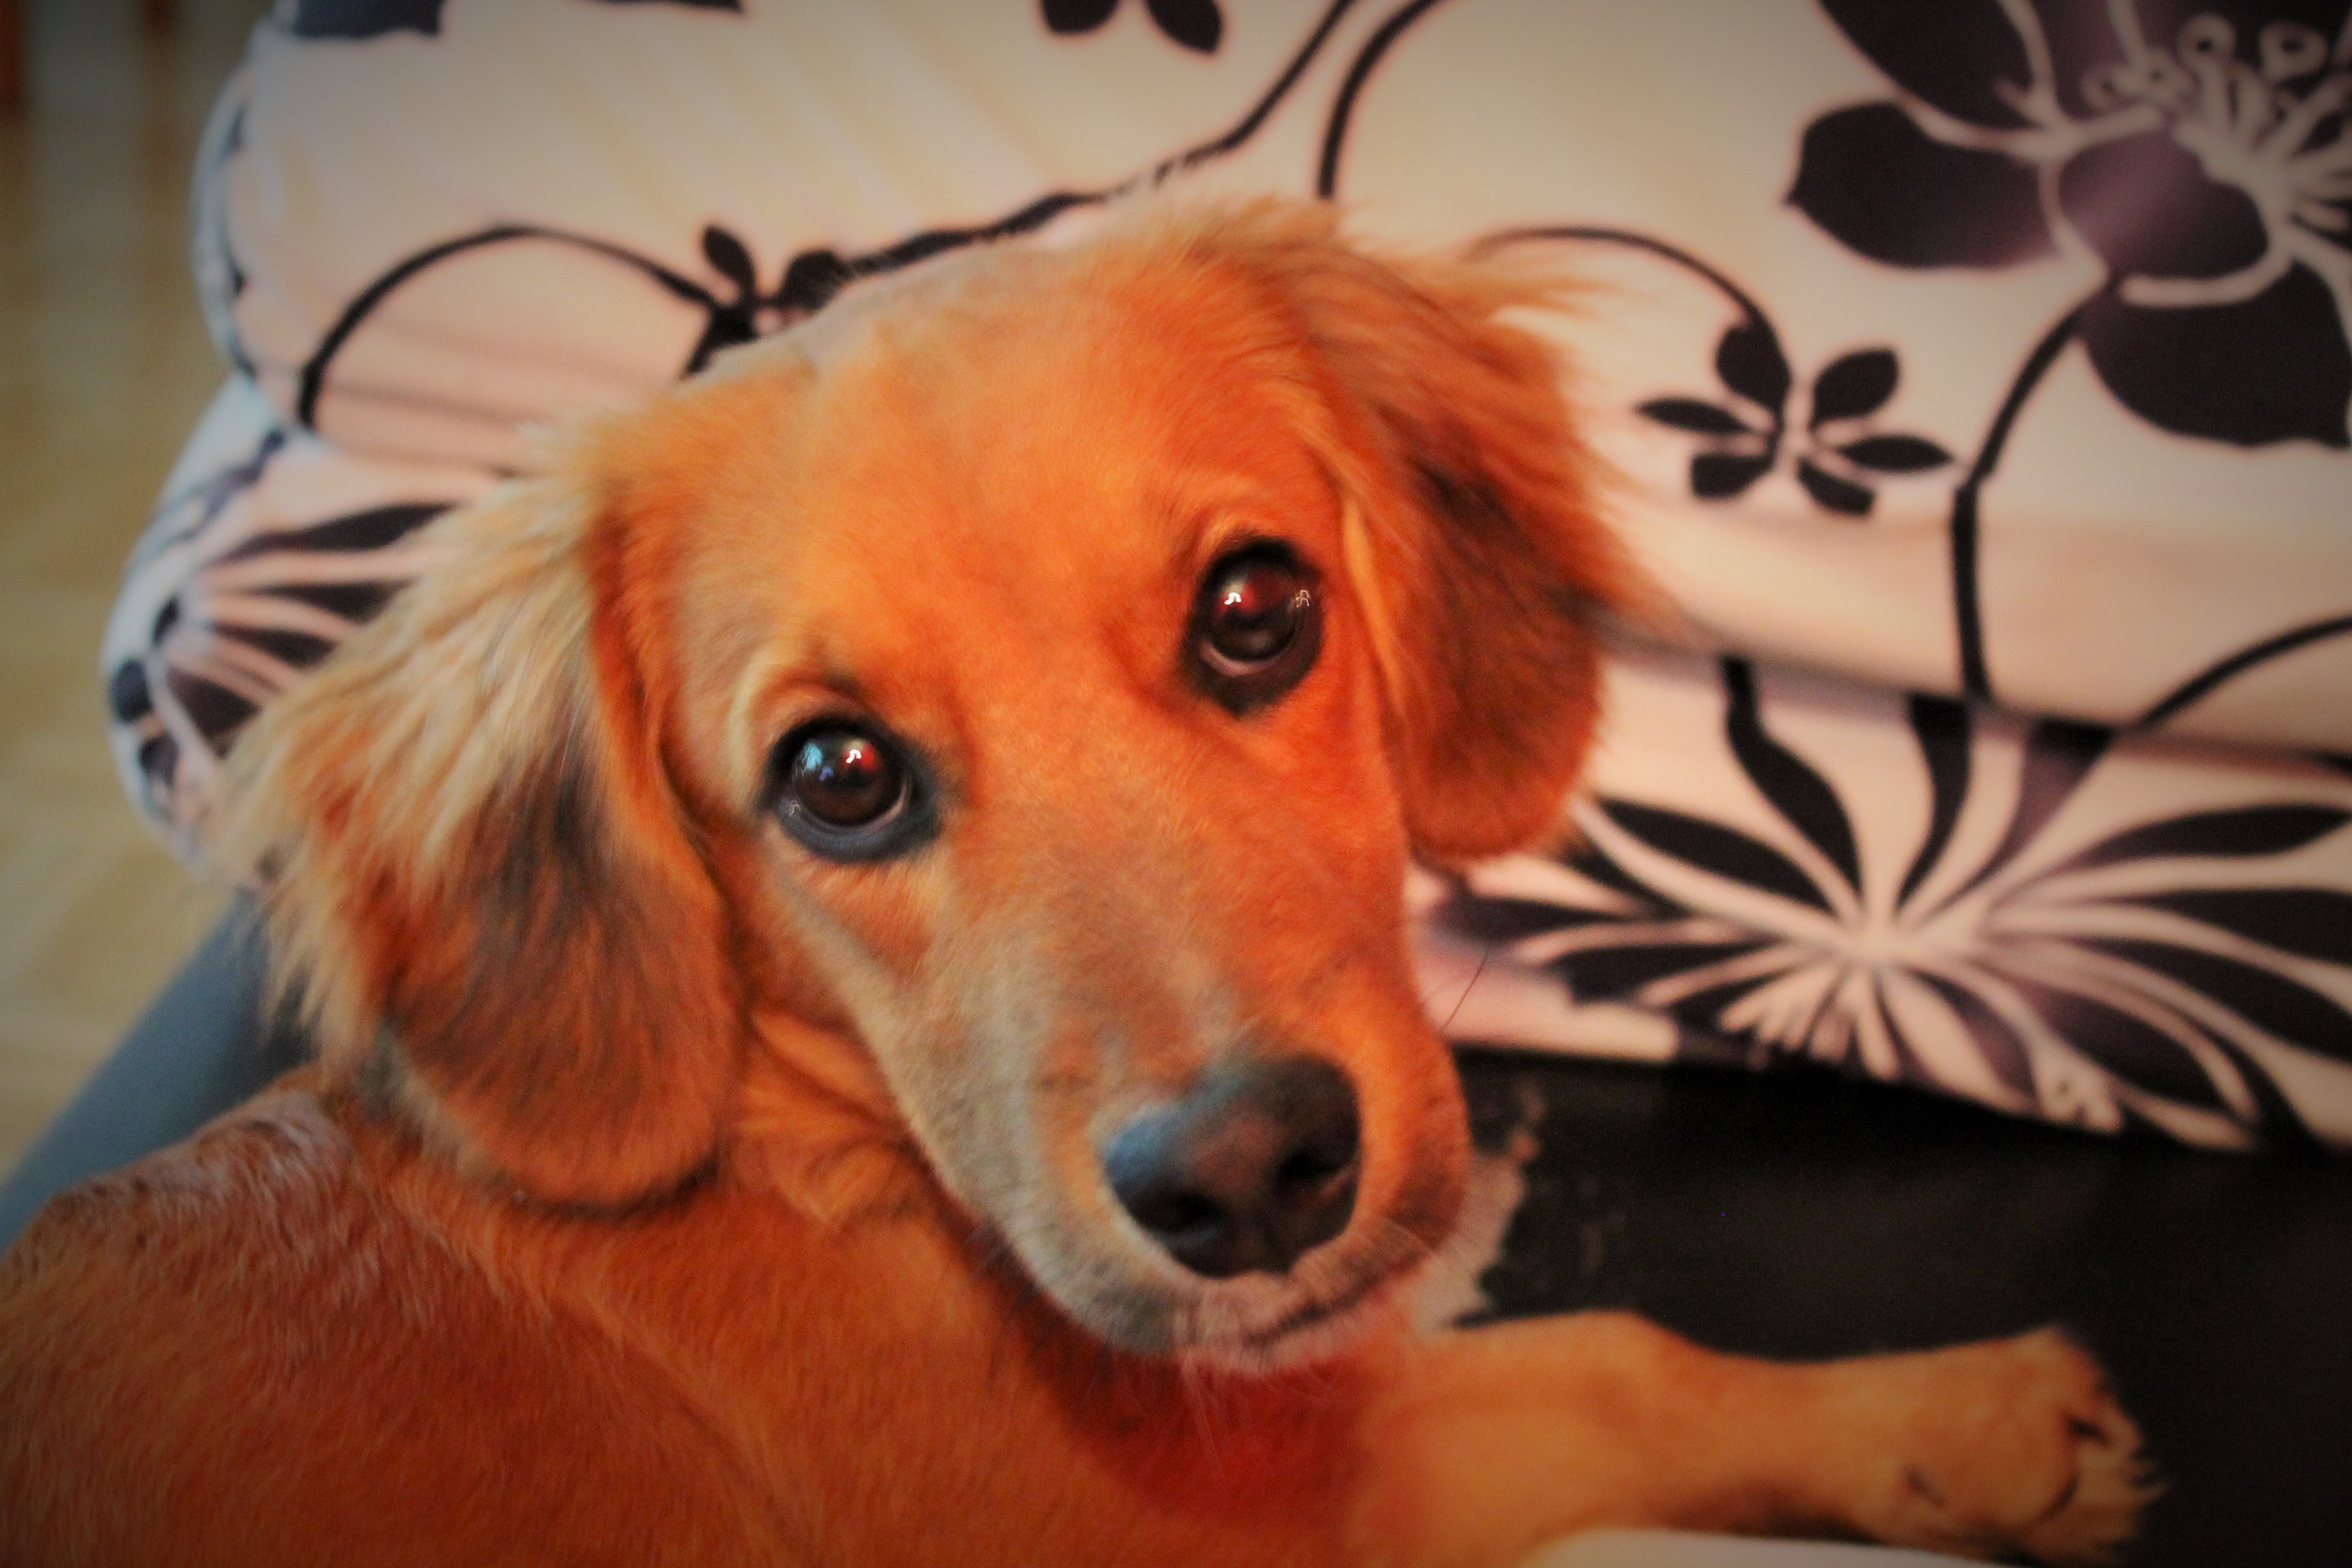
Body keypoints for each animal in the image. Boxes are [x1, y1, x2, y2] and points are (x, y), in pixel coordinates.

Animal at [0, 198, 2148, 1567]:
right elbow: (1582, 1369)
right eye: (836, 775)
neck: (824, 1168)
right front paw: (1957, 1417)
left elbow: (1610, 1356)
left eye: (1257, 607)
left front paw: (1961, 1426)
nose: (1250, 1179)